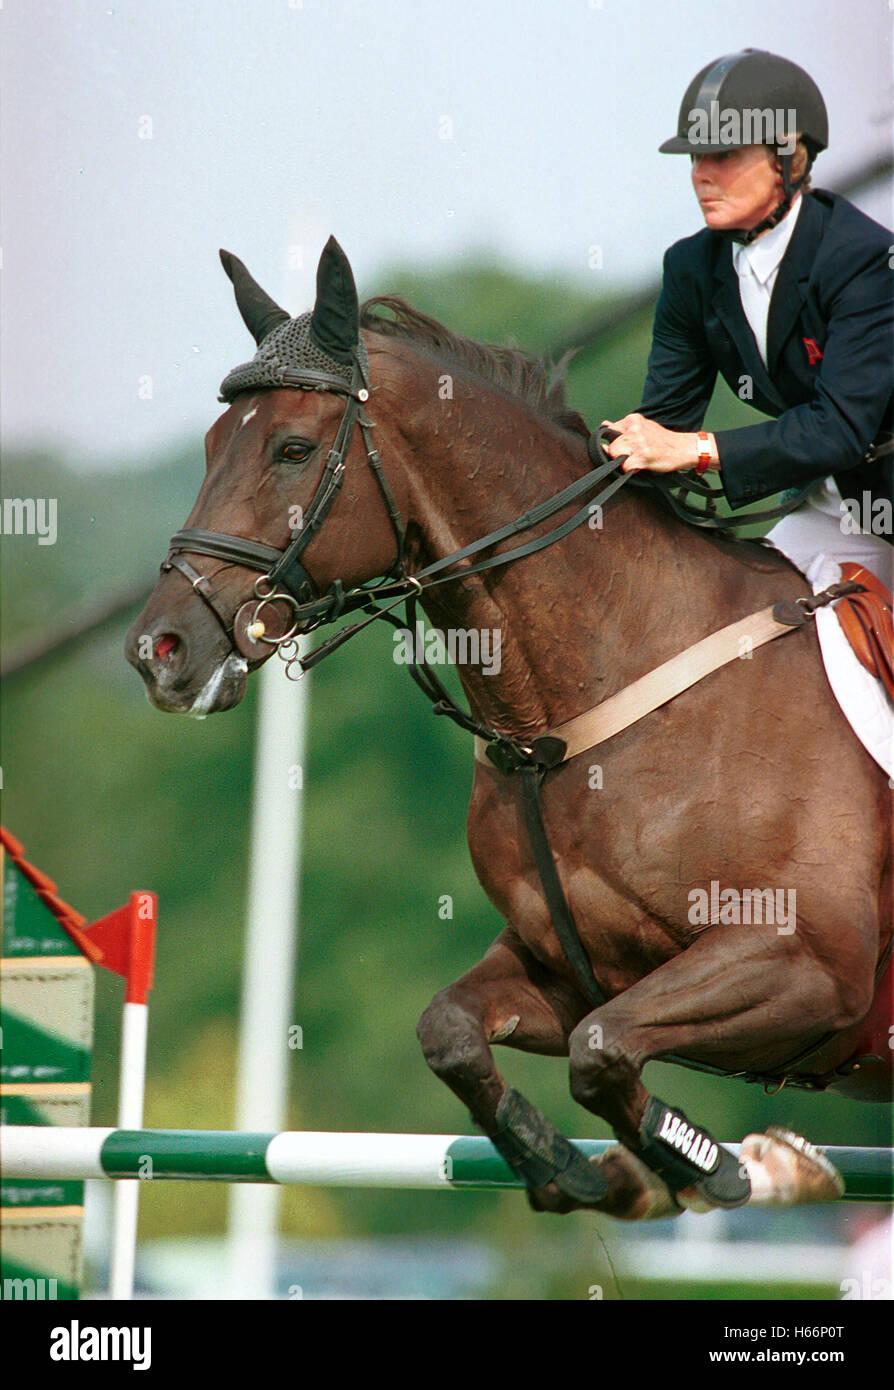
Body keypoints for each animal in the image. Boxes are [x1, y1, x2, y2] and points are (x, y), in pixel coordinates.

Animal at [127, 244, 894, 1223]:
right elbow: (456, 1031)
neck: (565, 727)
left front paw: (731, 1166)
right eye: (212, 446)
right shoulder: (563, 968)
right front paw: (580, 1169)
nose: (158, 650)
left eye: (293, 449)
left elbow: (602, 1050)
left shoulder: (811, 968)